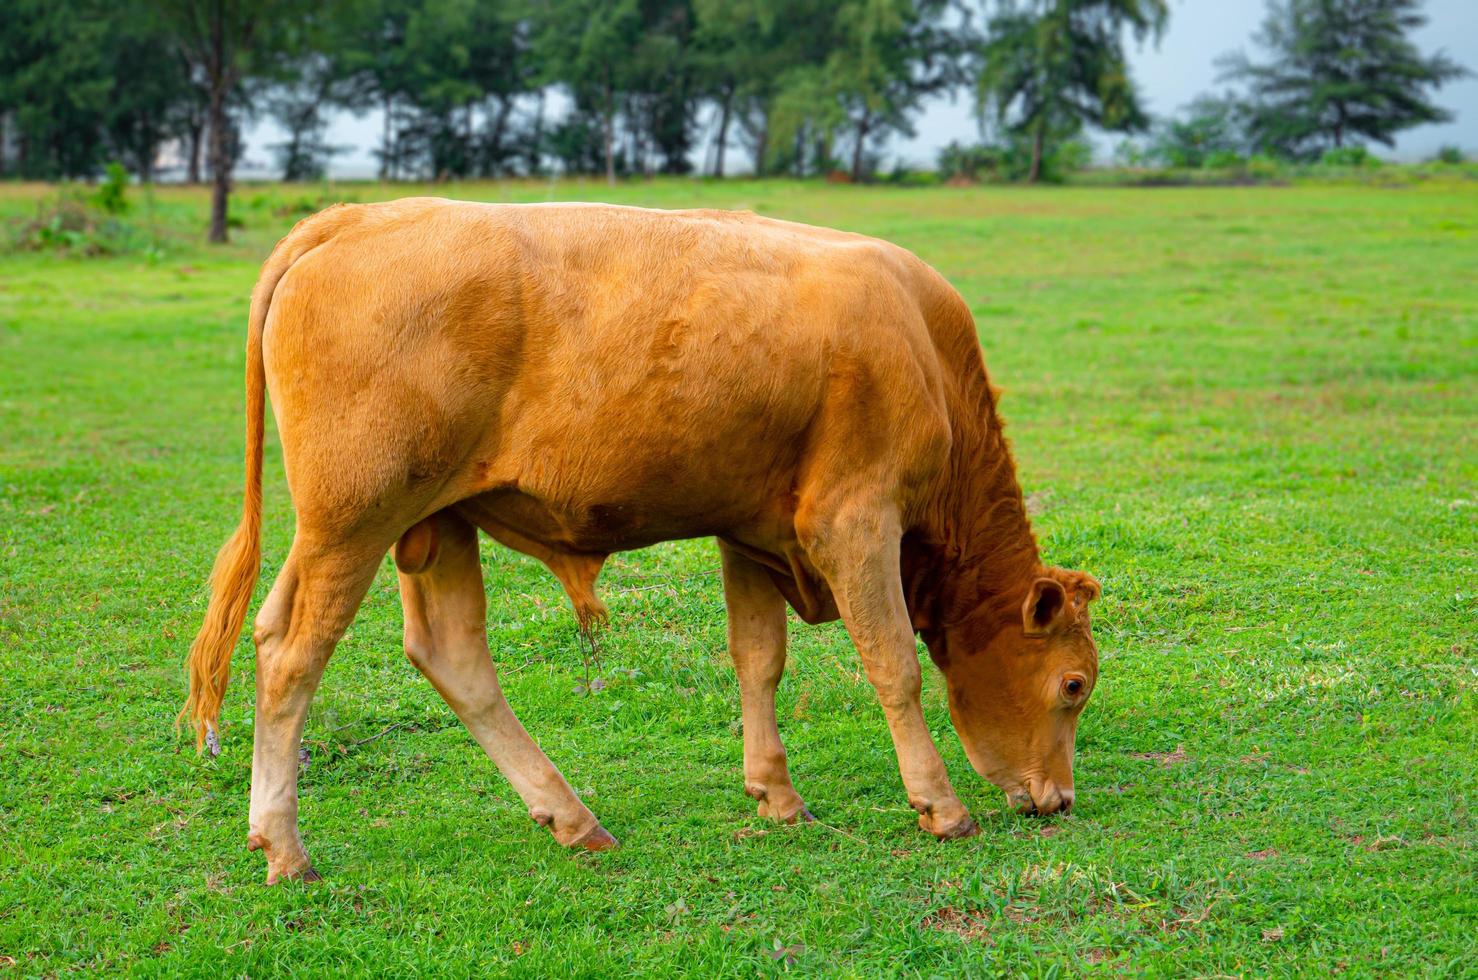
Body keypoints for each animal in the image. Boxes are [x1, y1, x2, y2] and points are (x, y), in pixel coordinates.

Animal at [178, 198, 1099, 880]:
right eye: (1074, 685)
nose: (1058, 800)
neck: (924, 347)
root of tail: (355, 217)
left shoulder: (751, 529)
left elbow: (758, 659)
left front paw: (777, 796)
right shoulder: (855, 520)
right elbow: (894, 665)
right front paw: (940, 806)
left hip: (426, 524)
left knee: (447, 654)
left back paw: (570, 817)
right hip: (353, 522)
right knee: (292, 654)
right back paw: (285, 846)